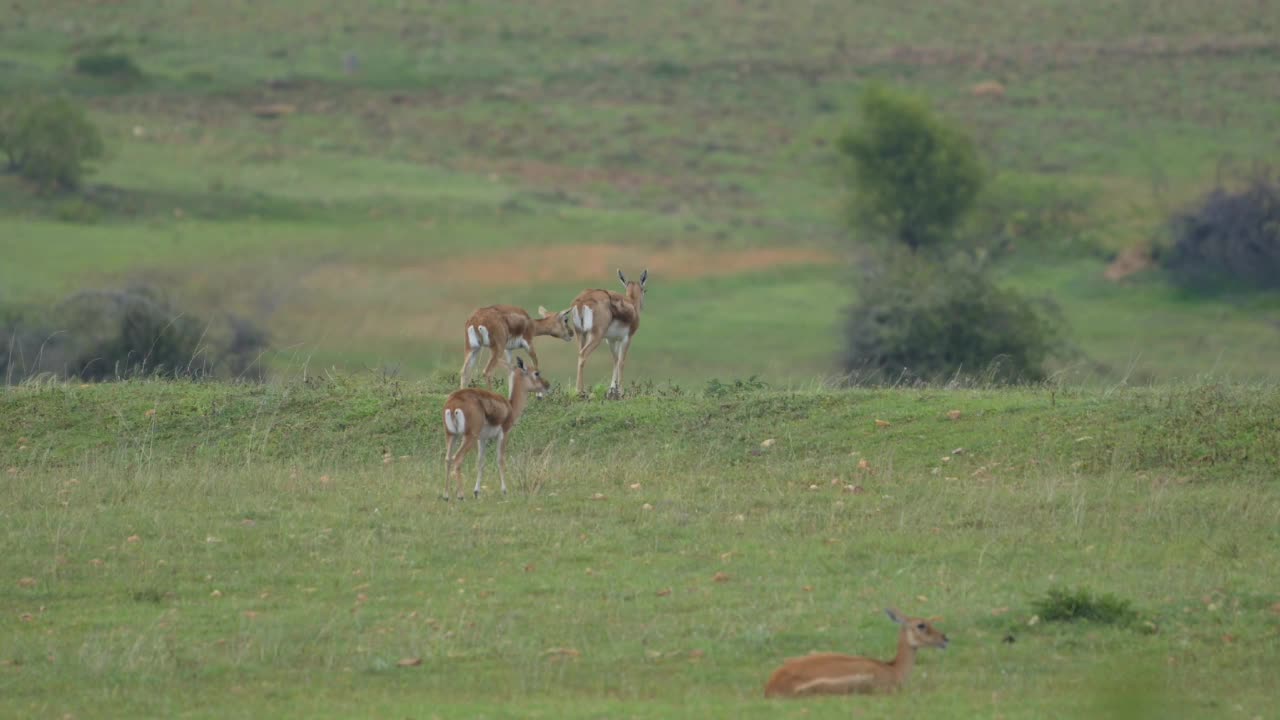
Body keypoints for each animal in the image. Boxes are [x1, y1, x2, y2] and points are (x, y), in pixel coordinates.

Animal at [440, 353, 550, 499]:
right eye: (536, 373)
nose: (547, 385)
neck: (510, 407)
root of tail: (453, 404)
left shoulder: (482, 439)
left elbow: (480, 462)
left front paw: (477, 492)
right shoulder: (504, 433)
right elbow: (500, 460)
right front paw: (504, 490)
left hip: (451, 435)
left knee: (447, 459)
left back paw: (446, 496)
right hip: (469, 437)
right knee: (457, 459)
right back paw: (461, 495)